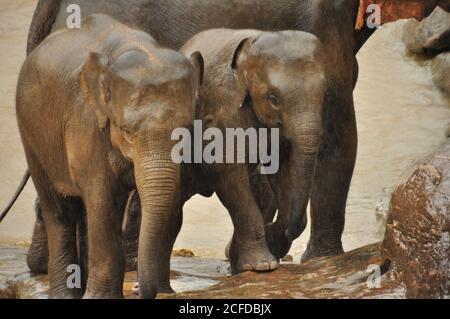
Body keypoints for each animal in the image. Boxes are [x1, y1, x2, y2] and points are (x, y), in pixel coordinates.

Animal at [15, 14, 202, 300]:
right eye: (125, 130)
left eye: (187, 130)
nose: (138, 289)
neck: (138, 50)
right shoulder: (87, 121)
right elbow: (102, 197)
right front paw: (100, 298)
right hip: (31, 133)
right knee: (59, 210)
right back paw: (65, 295)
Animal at [180, 29, 326, 260]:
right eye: (273, 99)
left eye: (323, 94)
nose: (287, 232)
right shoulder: (223, 111)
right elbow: (229, 171)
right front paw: (262, 263)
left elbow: (283, 169)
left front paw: (274, 242)